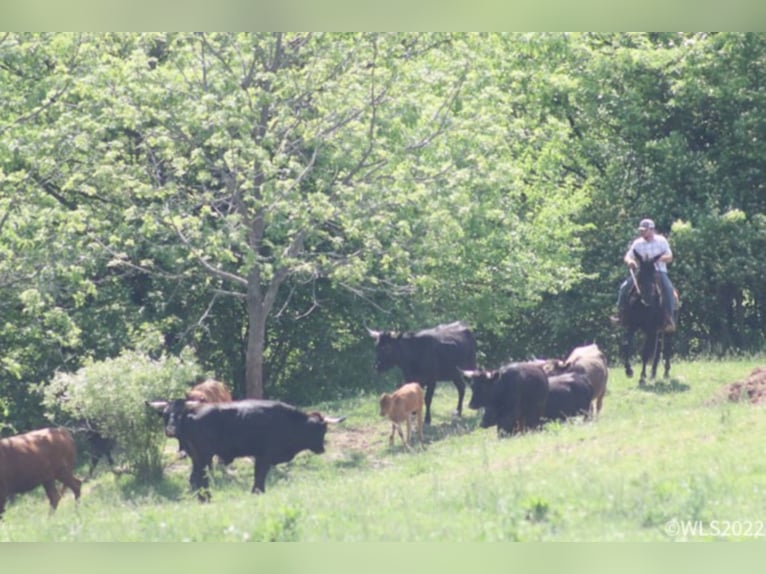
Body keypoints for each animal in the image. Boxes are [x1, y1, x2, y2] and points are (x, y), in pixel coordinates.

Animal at [147, 400, 344, 500]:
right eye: (322, 429)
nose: (322, 449)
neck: (289, 422)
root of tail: (189, 411)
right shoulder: (264, 456)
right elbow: (260, 476)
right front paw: (258, 492)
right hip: (203, 456)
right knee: (200, 478)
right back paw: (207, 498)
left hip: (196, 457)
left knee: (194, 478)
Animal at [620, 250, 676, 384]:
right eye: (640, 274)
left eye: (654, 275)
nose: (648, 298)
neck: (643, 307)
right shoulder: (632, 326)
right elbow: (626, 345)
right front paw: (629, 370)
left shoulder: (651, 330)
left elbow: (645, 352)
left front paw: (642, 376)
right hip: (657, 331)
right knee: (657, 350)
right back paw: (653, 373)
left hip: (666, 329)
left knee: (666, 347)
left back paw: (666, 373)